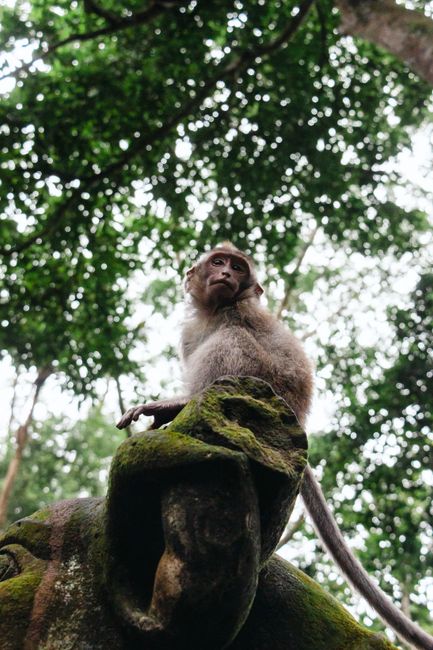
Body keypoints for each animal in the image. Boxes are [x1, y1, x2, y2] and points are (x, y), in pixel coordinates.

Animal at [117, 243, 433, 650]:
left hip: (267, 387)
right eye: (218, 262)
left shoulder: (243, 312)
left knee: (233, 339)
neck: (213, 311)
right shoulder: (188, 334)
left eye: (238, 267)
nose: (227, 274)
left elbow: (243, 337)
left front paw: (175, 405)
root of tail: (297, 418)